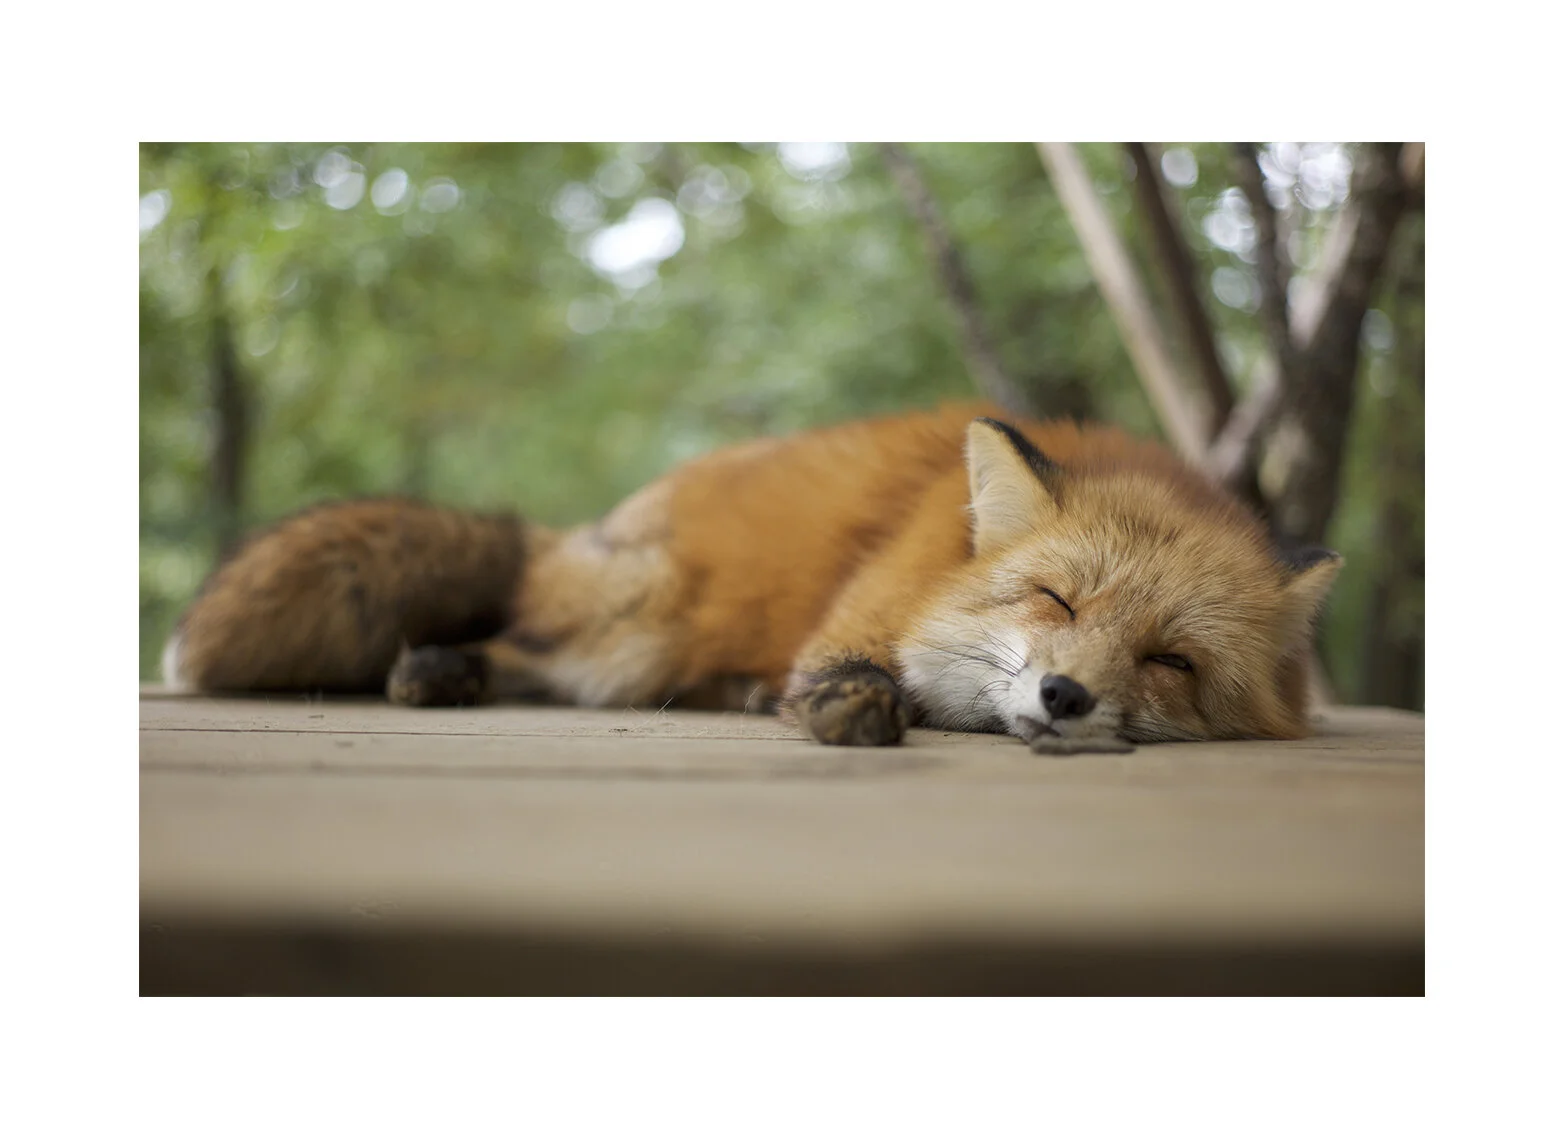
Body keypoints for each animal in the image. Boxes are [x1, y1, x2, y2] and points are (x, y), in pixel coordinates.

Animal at [161, 403, 1341, 752]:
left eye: (1170, 660)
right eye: (1056, 599)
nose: (1064, 694)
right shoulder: (876, 594)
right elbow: (853, 664)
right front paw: (852, 706)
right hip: (639, 625)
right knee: (526, 642)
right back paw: (440, 670)